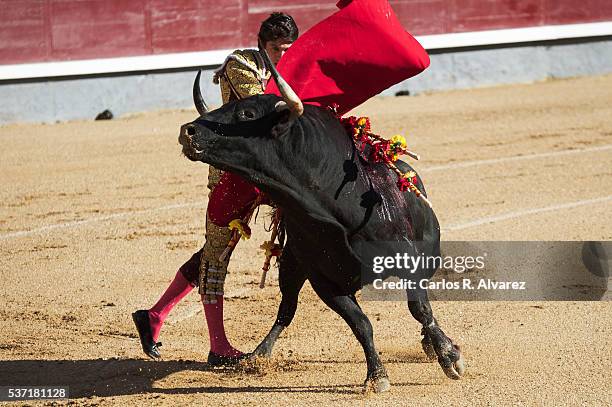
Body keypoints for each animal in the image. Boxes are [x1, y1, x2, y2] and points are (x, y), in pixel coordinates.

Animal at [179, 89, 466, 392]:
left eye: (247, 113)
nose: (188, 131)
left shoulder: (410, 262)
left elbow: (420, 309)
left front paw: (448, 355)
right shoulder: (324, 281)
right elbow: (361, 324)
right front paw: (376, 376)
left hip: (429, 254)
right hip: (291, 265)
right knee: (286, 309)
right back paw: (258, 354)